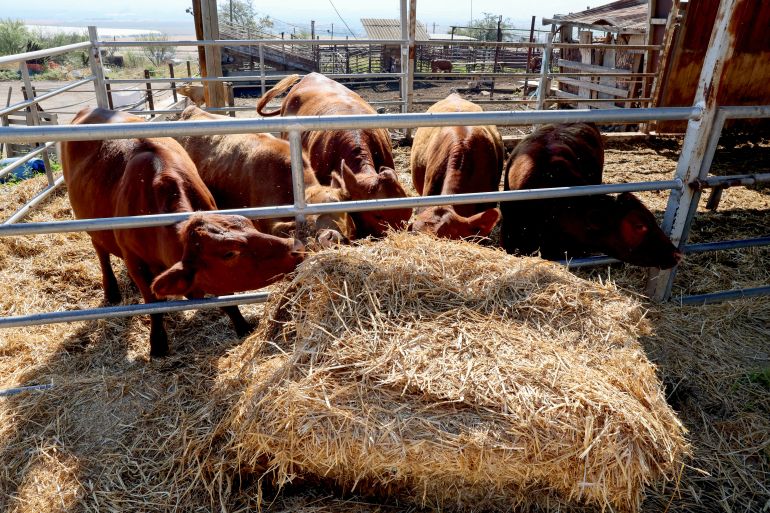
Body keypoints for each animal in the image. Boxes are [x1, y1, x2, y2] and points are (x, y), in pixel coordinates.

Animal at [62, 107, 304, 356]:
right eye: (229, 253)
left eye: (248, 224)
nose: (296, 248)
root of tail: (91, 109)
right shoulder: (135, 261)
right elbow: (154, 303)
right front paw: (158, 344)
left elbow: (226, 298)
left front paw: (242, 325)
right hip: (91, 225)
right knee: (101, 251)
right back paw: (111, 291)